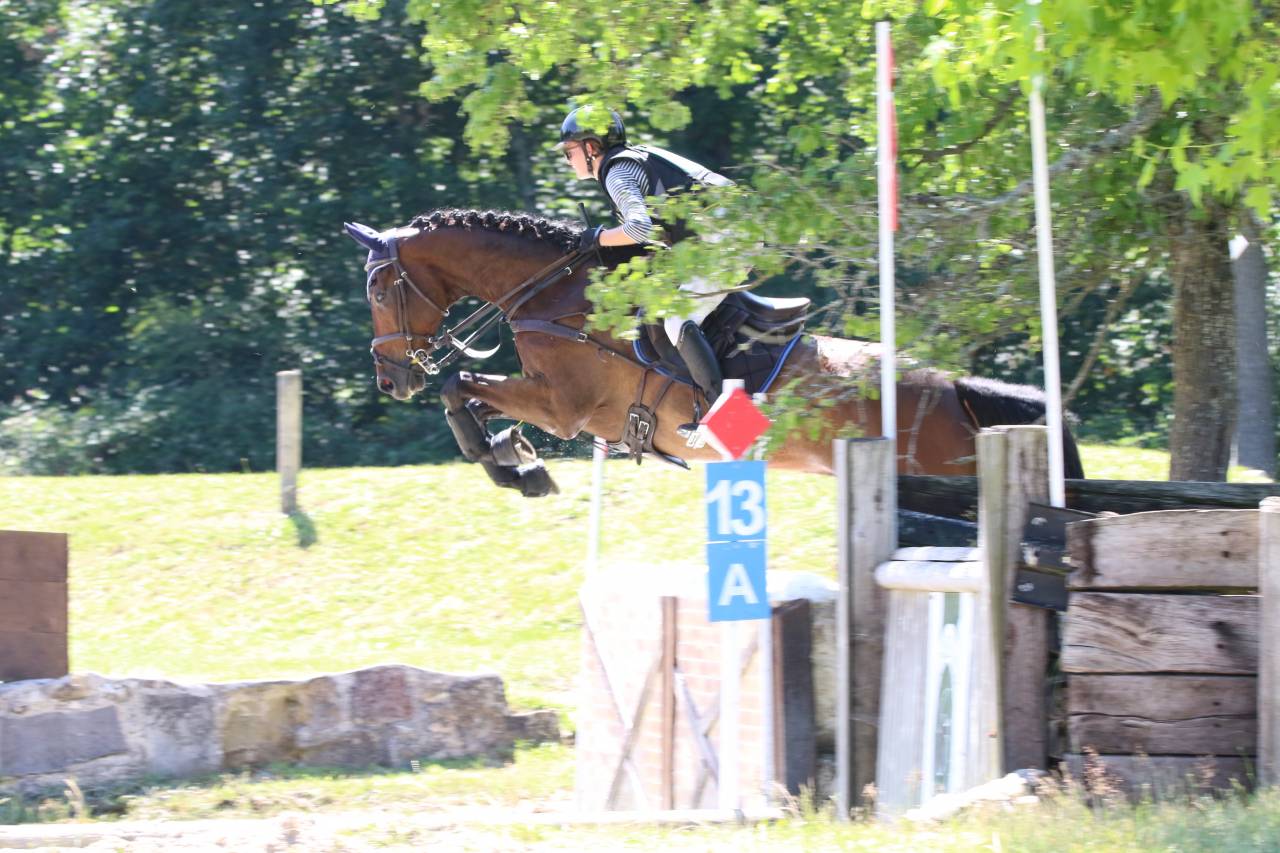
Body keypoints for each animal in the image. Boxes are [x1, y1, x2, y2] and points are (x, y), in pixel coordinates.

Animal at [344, 209, 1083, 497]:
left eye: (379, 289)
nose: (388, 381)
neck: (552, 294)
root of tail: (954, 389)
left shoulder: (564, 406)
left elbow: (460, 387)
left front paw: (514, 468)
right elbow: (470, 396)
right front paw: (514, 458)